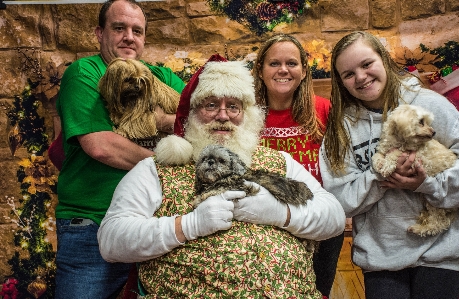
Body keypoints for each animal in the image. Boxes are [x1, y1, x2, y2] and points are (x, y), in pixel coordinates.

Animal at [372, 104, 458, 238]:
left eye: (427, 121)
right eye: (421, 122)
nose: (434, 132)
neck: (400, 141)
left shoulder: (417, 158)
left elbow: (397, 153)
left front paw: (387, 165)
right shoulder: (384, 149)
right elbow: (376, 156)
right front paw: (379, 163)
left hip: (435, 202)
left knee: (438, 224)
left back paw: (419, 229)